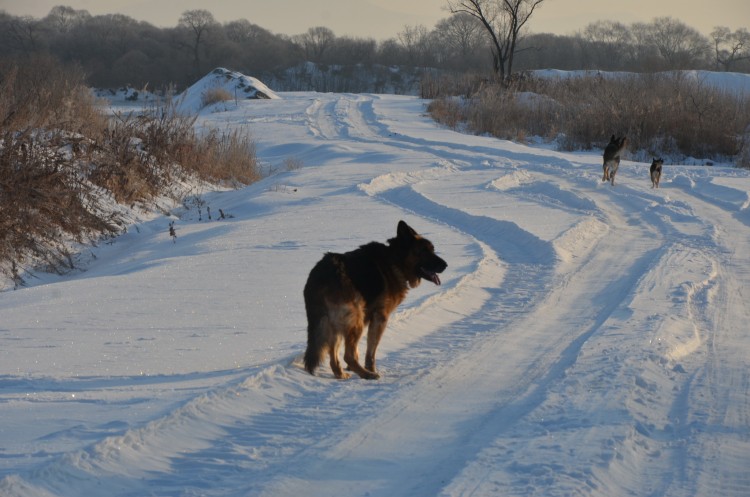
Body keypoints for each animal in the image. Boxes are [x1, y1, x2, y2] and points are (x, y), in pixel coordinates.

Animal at [304, 219, 446, 378]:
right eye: (424, 251)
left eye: (432, 250)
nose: (445, 265)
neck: (395, 260)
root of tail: (319, 277)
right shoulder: (380, 318)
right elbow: (371, 352)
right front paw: (371, 369)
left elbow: (359, 351)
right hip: (356, 321)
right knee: (348, 356)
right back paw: (367, 375)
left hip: (335, 324)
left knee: (334, 355)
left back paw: (341, 374)